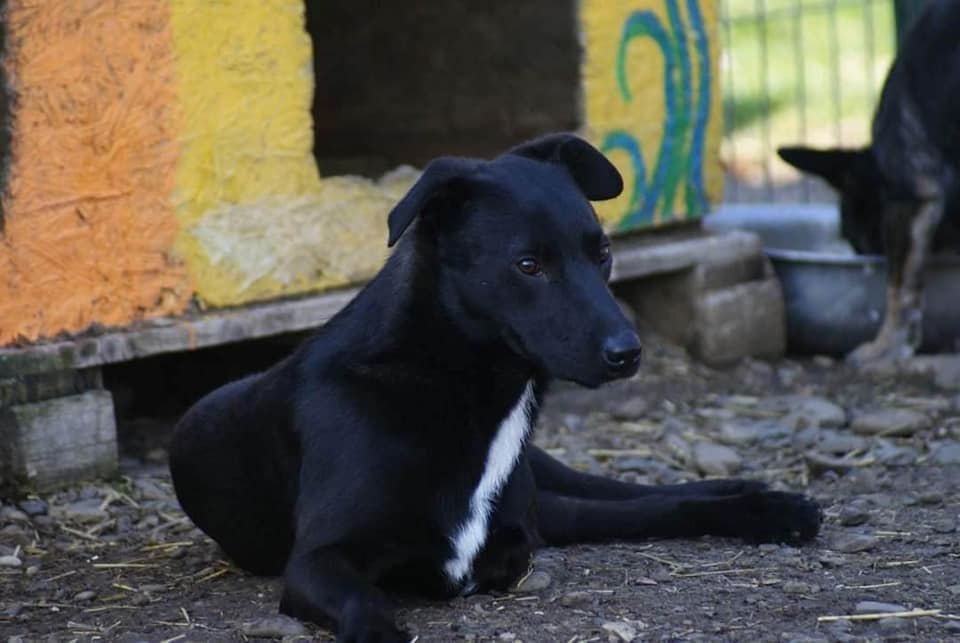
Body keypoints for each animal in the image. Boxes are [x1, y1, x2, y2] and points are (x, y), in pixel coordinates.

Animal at [170, 134, 821, 642]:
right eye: (528, 265)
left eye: (603, 252)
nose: (628, 353)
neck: (456, 383)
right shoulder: (316, 561)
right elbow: (367, 599)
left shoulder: (516, 527)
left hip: (547, 483)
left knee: (641, 498)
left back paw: (765, 501)